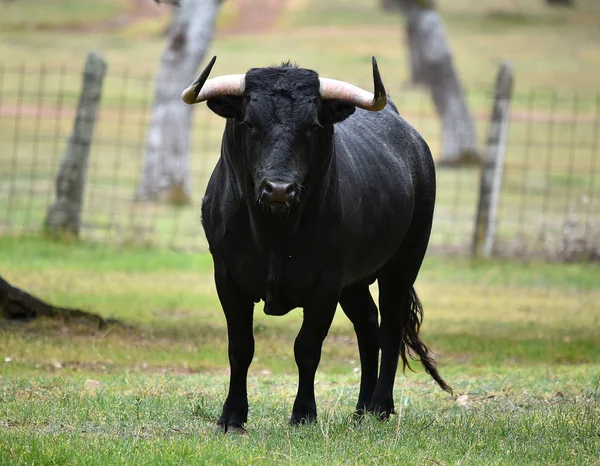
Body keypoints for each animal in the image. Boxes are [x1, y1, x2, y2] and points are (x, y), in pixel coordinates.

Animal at [185, 56, 452, 432]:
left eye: (311, 127)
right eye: (249, 123)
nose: (279, 189)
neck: (274, 234)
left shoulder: (326, 282)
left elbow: (307, 347)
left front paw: (303, 414)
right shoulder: (227, 277)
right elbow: (241, 347)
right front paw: (232, 416)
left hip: (403, 263)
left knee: (390, 327)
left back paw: (381, 406)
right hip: (355, 283)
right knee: (368, 325)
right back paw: (362, 408)